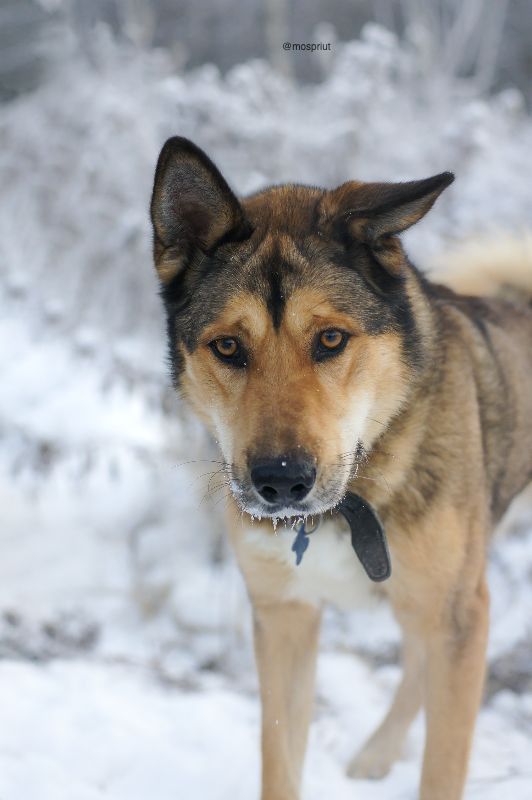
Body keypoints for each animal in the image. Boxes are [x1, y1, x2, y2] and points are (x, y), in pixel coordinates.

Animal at [149, 134, 532, 796]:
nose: (280, 481)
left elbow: (442, 769)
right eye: (228, 346)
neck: (347, 506)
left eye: (330, 340)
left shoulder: (456, 612)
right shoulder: (284, 618)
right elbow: (280, 763)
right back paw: (378, 753)